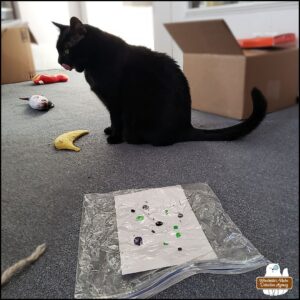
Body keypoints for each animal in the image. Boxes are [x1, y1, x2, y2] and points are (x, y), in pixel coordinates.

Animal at [52, 17, 266, 146]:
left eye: (67, 50)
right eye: (57, 50)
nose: (59, 61)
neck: (93, 63)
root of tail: (186, 127)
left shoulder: (115, 101)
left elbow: (116, 119)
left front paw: (114, 137)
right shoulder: (109, 102)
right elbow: (113, 120)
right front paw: (110, 130)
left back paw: (130, 139)